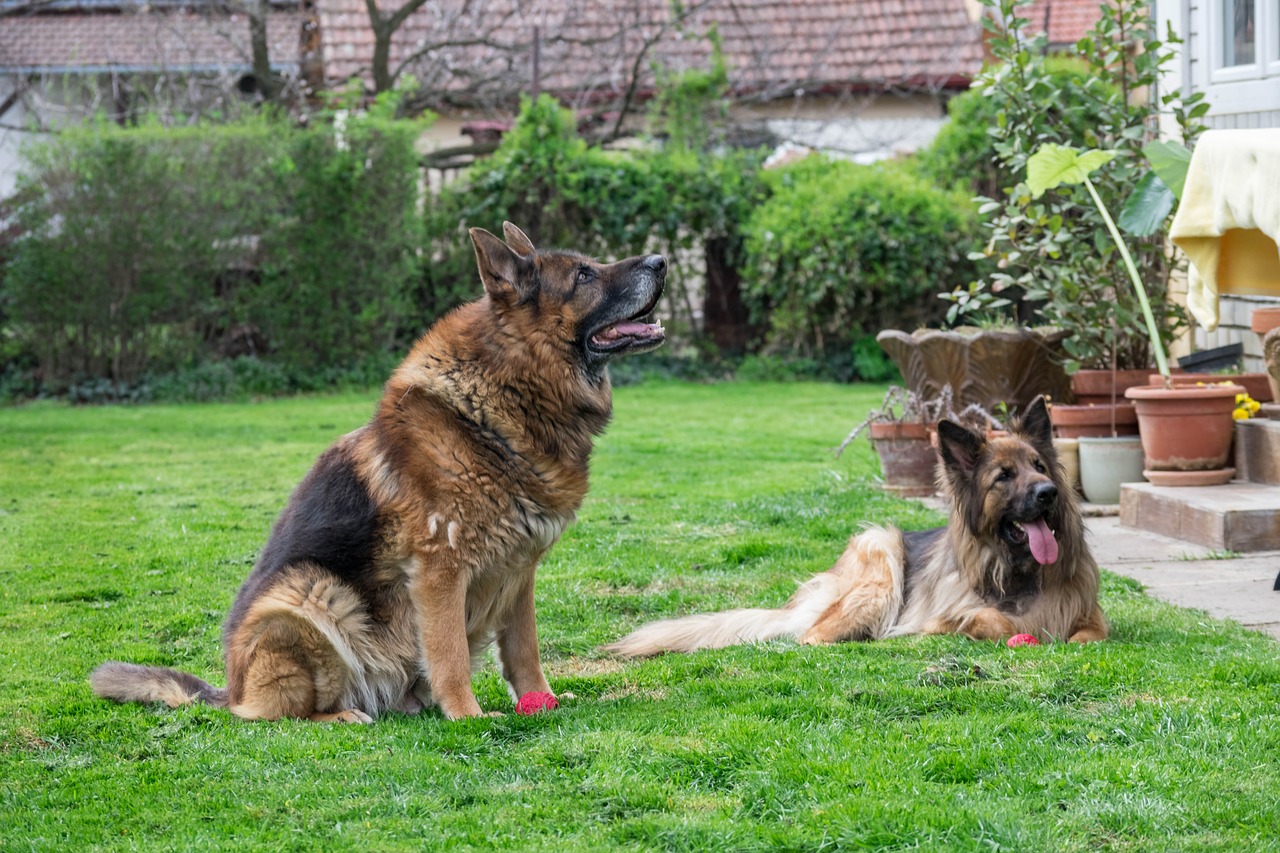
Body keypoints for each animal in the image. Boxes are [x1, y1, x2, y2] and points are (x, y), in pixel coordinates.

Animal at [94, 222, 665, 722]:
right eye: (585, 275)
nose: (661, 261)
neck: (505, 393)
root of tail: (228, 688)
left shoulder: (518, 573)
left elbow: (525, 652)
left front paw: (539, 702)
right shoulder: (440, 571)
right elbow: (451, 656)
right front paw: (468, 716)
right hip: (308, 595)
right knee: (268, 714)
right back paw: (341, 716)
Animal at [604, 394, 1105, 653]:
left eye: (1039, 466)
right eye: (1004, 476)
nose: (1049, 493)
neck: (1018, 572)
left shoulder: (1090, 616)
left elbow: (1089, 633)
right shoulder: (947, 614)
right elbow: (991, 621)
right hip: (879, 555)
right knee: (813, 637)